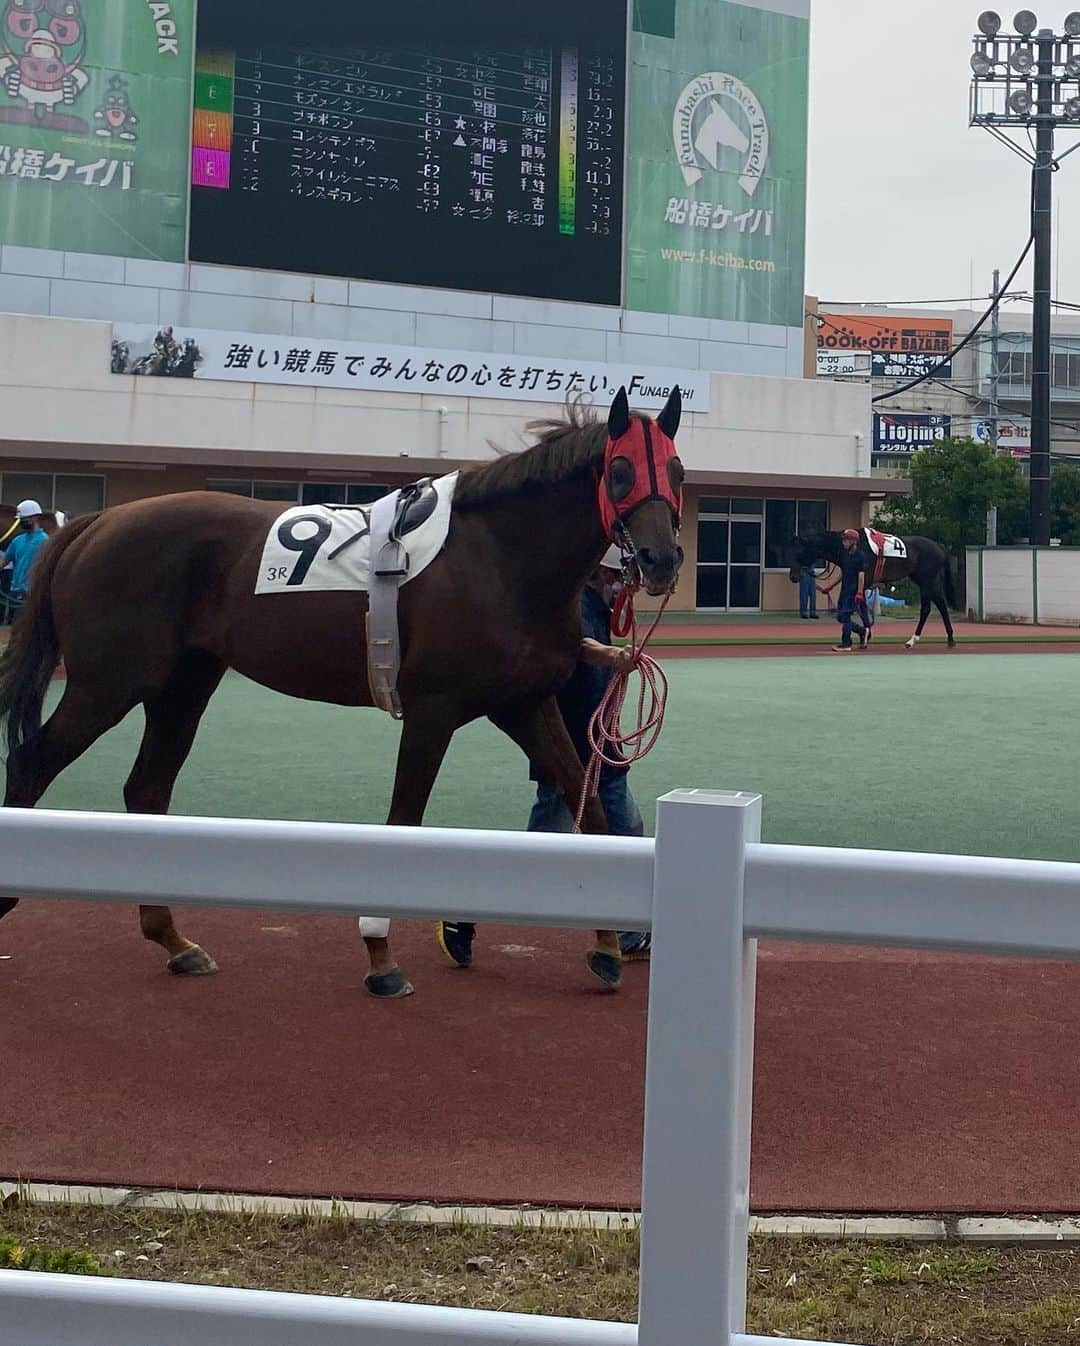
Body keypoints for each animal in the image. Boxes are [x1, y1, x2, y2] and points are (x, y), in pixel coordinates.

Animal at [0, 384, 681, 996]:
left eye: (675, 470)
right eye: (619, 471)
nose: (663, 558)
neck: (499, 559)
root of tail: (100, 521)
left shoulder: (524, 704)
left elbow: (589, 810)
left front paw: (605, 947)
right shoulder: (435, 710)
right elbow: (404, 821)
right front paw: (380, 955)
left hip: (182, 684)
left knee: (146, 789)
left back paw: (175, 941)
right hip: (108, 683)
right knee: (34, 761)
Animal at [786, 527, 953, 648]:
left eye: (799, 552)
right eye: (790, 551)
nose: (793, 576)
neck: (853, 548)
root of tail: (939, 547)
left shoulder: (860, 583)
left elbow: (860, 606)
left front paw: (865, 634)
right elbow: (859, 609)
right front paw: (864, 633)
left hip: (927, 581)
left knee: (927, 608)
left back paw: (914, 639)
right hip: (924, 581)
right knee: (940, 605)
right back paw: (949, 638)